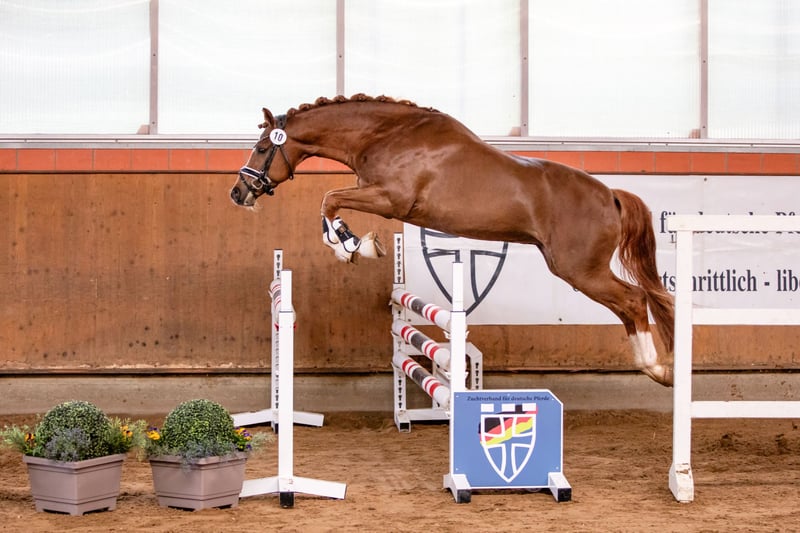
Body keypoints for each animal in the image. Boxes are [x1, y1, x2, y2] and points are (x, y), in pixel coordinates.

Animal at [230, 94, 675, 387]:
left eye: (263, 147)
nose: (239, 193)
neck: (384, 134)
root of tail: (610, 194)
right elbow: (330, 202)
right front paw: (354, 244)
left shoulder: (389, 199)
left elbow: (328, 200)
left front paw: (352, 246)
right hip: (576, 269)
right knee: (632, 305)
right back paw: (656, 366)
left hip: (580, 269)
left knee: (634, 300)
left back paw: (657, 368)